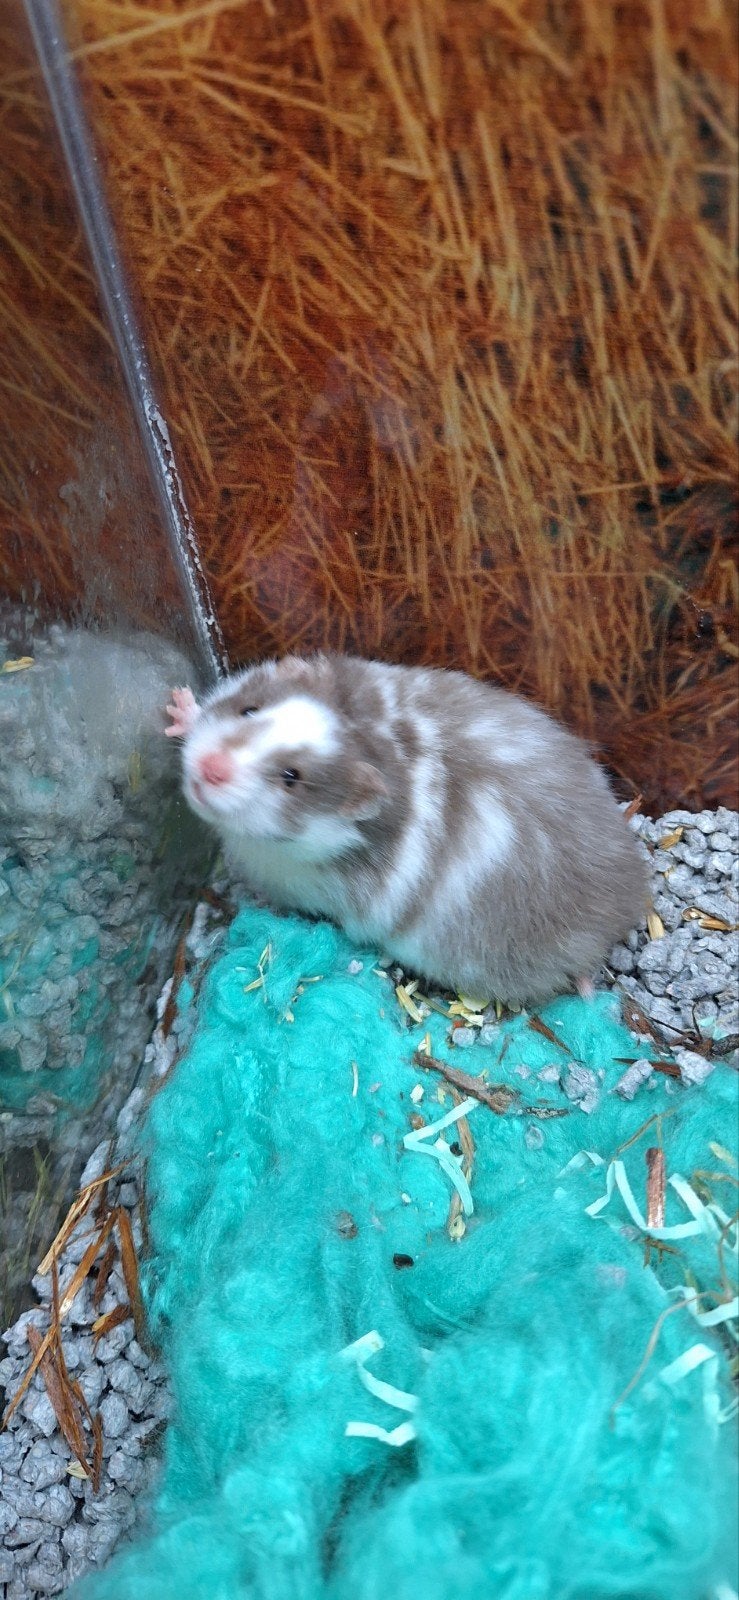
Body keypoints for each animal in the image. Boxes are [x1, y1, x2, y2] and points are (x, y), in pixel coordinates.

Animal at [166, 654, 648, 1005]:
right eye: (248, 709)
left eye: (291, 777)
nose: (209, 769)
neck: (371, 739)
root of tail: (631, 901)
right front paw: (179, 705)